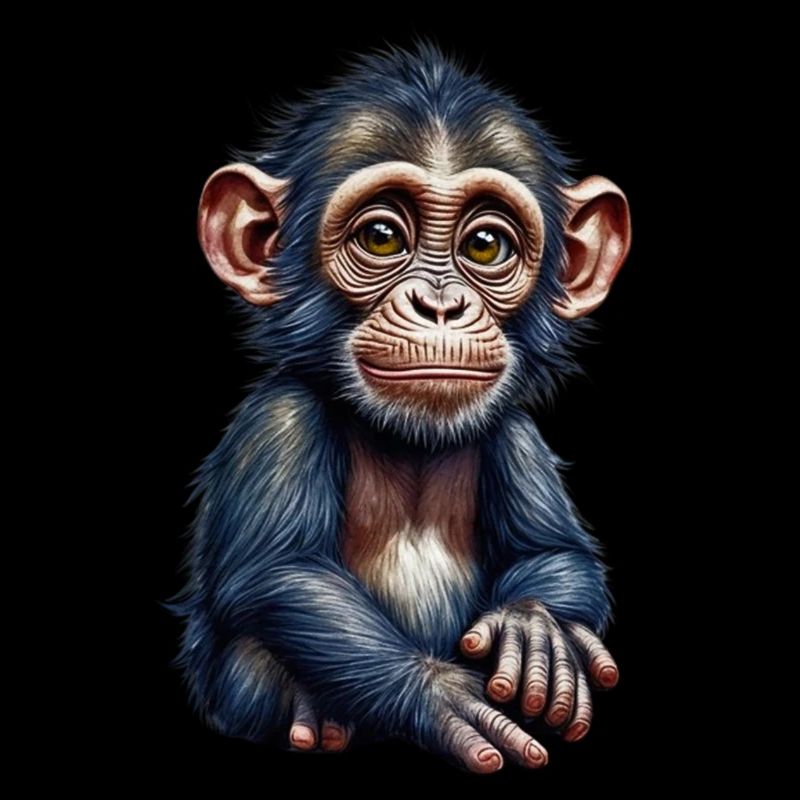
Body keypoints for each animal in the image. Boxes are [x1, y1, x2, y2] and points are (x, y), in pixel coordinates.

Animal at [168, 43, 631, 773]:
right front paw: (441, 693)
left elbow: (556, 547)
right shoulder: (278, 421)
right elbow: (281, 572)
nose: (440, 305)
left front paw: (535, 629)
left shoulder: (519, 434)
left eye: (485, 246)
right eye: (382, 236)